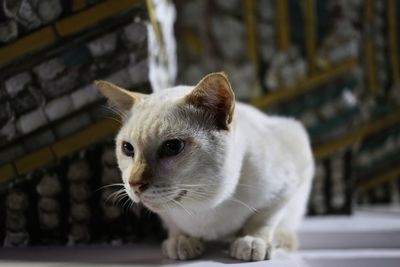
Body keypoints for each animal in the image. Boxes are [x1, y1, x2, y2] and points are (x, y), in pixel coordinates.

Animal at [95, 73, 314, 262]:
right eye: (127, 148)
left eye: (172, 147)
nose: (134, 184)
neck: (201, 207)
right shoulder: (166, 215)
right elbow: (175, 225)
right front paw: (182, 241)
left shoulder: (285, 188)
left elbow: (263, 219)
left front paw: (252, 242)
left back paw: (277, 240)